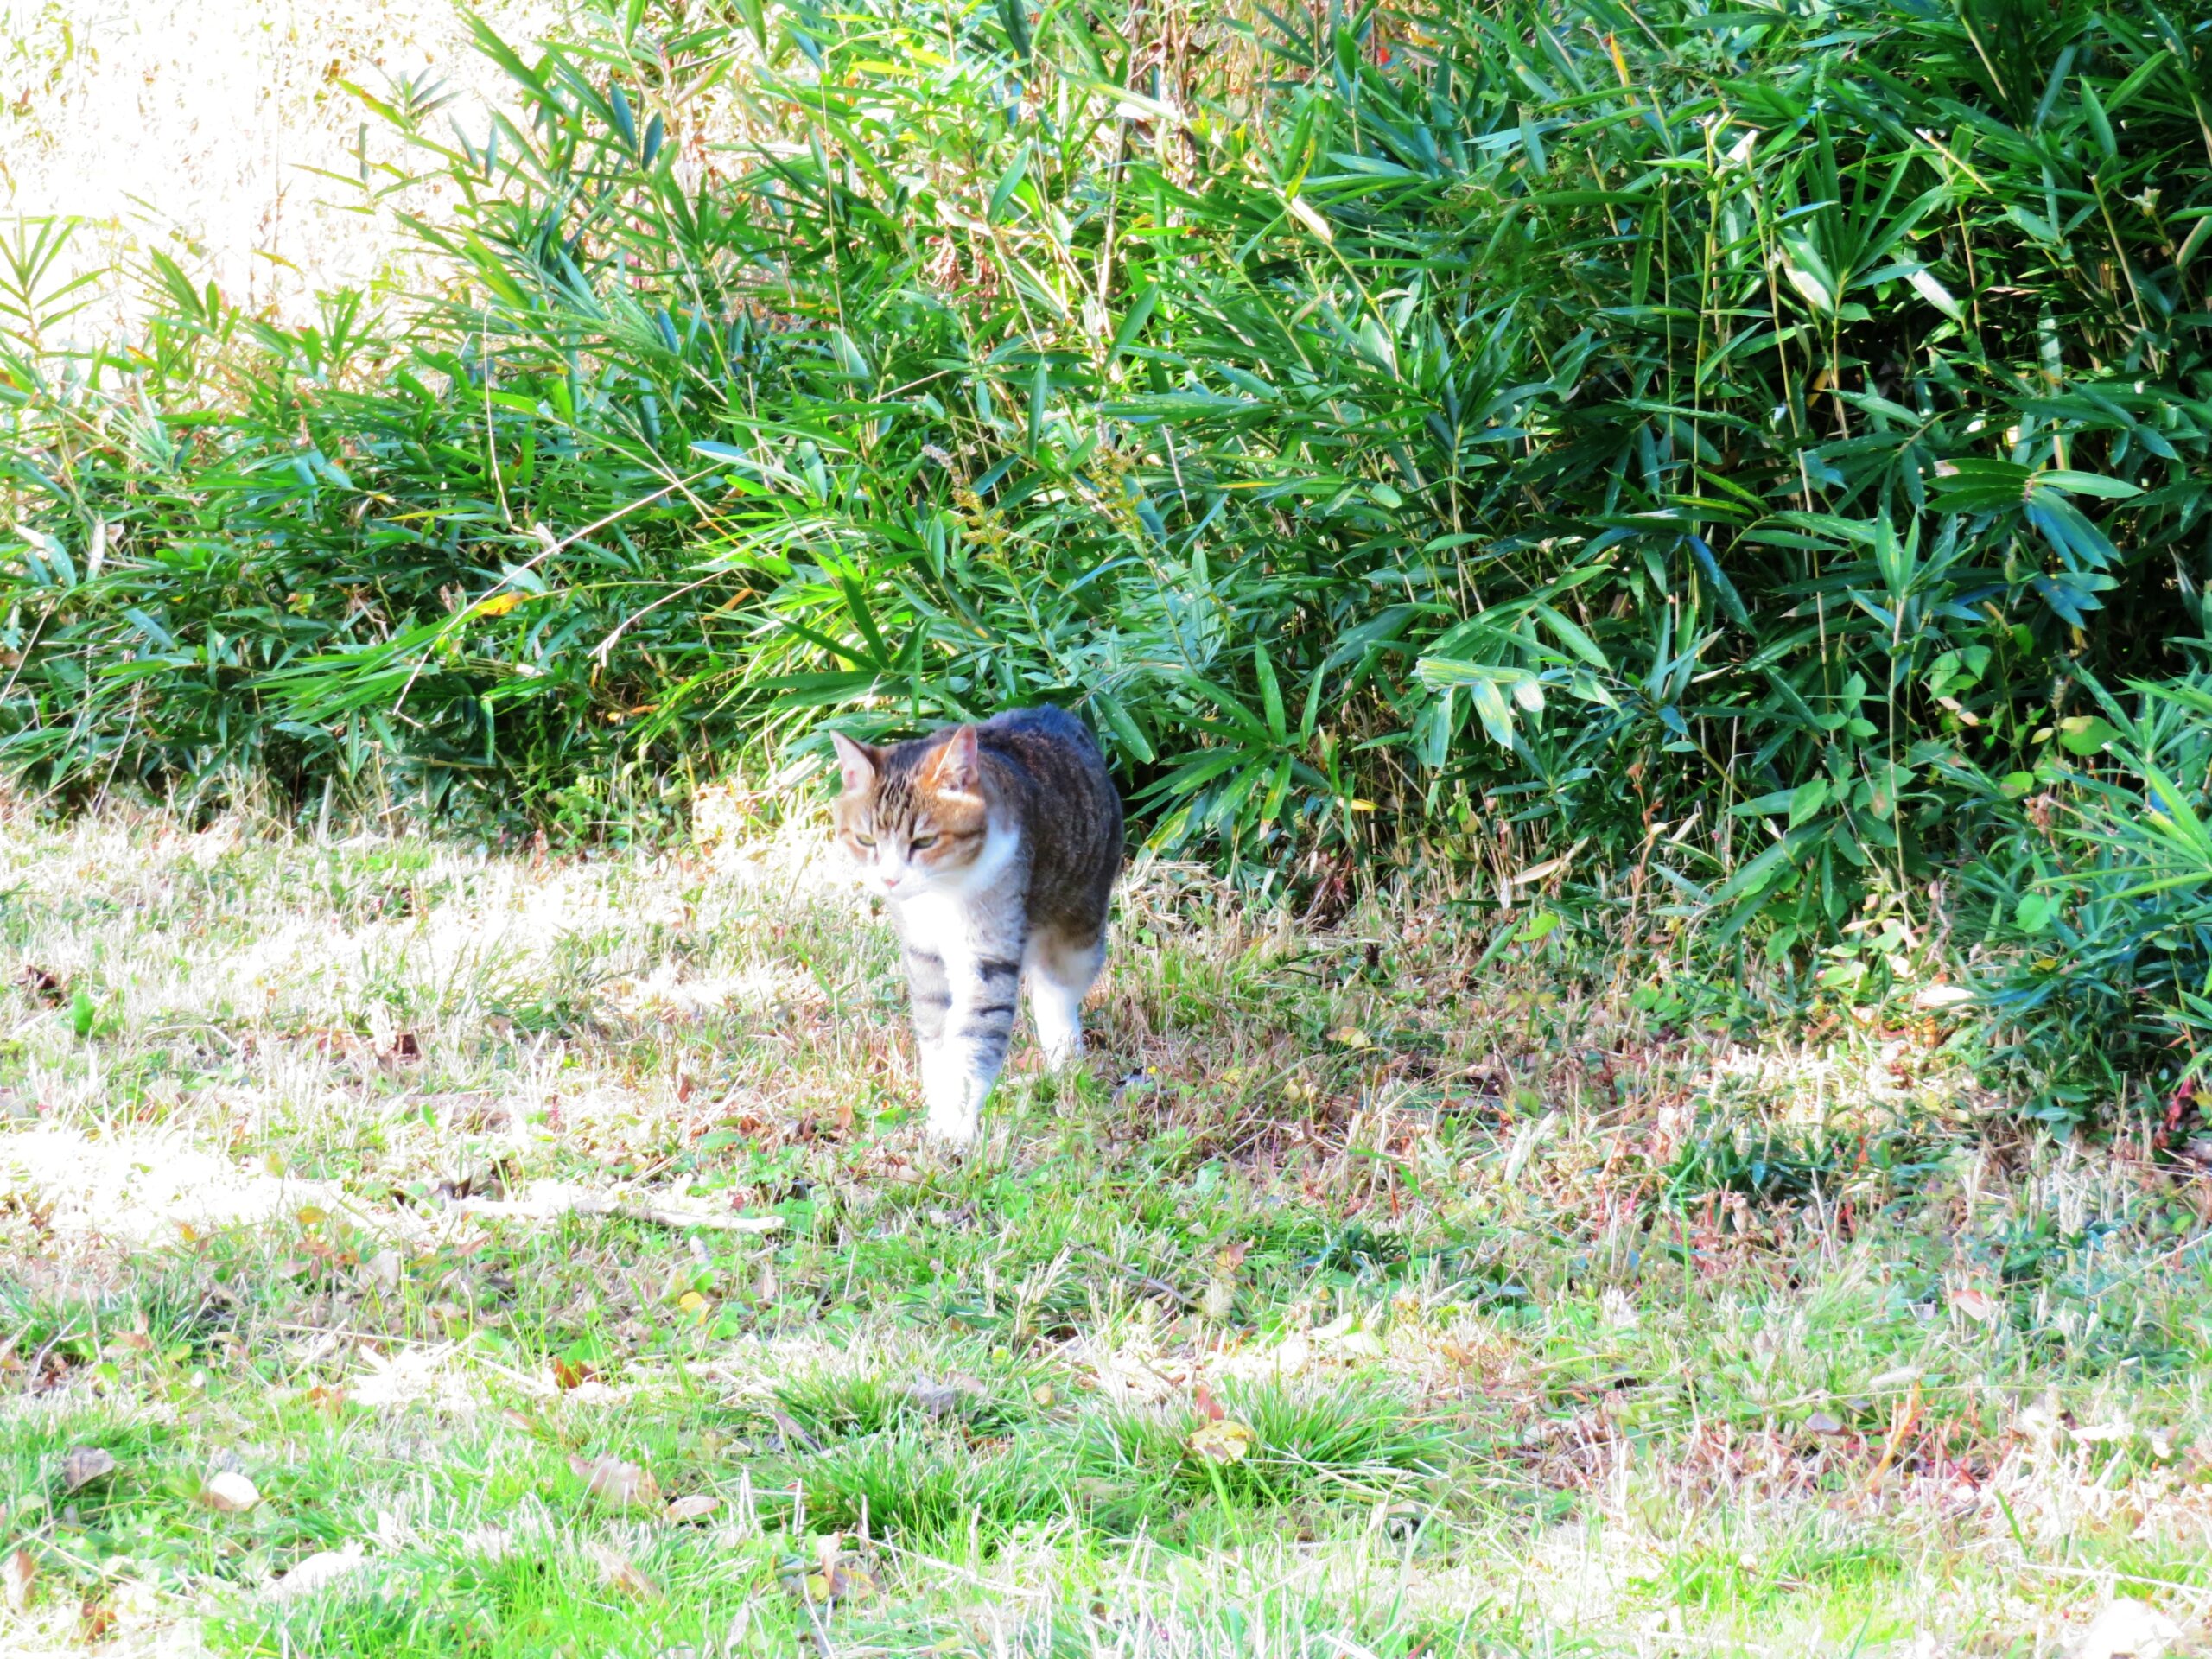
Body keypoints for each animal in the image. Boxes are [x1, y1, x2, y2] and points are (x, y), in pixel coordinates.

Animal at [831, 708, 1123, 1150]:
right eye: (866, 840)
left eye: (925, 841)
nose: (890, 879)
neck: (942, 894)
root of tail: (1055, 712)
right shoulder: (924, 954)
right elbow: (936, 1036)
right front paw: (939, 1118)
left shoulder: (990, 952)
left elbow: (975, 1038)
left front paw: (957, 1127)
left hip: (1081, 917)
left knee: (1056, 989)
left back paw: (1065, 1062)